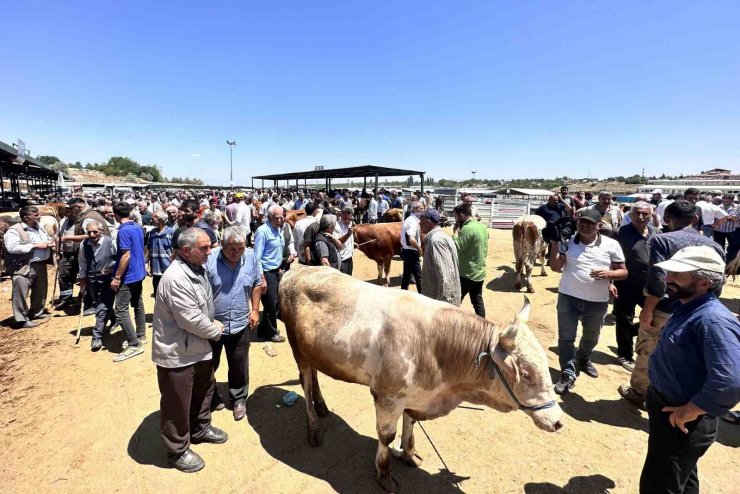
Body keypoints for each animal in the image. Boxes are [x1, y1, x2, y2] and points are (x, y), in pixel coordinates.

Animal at [280, 268, 564, 492]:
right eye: (525, 373)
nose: (559, 421)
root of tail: (297, 270)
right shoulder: (387, 397)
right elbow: (387, 436)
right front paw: (384, 474)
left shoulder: (416, 396)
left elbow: (410, 423)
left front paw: (409, 453)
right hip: (298, 351)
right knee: (306, 382)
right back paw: (314, 428)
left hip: (314, 352)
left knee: (314, 377)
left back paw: (322, 406)